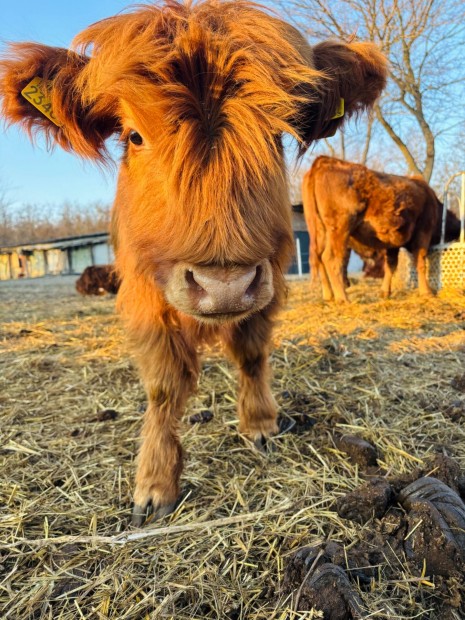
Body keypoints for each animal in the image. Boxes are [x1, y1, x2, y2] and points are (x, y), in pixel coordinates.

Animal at [0, 1, 384, 524]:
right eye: (134, 136)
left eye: (277, 136)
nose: (223, 286)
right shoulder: (144, 295)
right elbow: (163, 387)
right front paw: (154, 483)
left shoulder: (269, 276)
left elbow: (252, 353)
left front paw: (260, 423)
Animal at [302, 157, 458, 302]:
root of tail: (323, 162)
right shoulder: (422, 234)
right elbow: (420, 262)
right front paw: (427, 293)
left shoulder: (393, 244)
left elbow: (390, 266)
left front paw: (384, 293)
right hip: (340, 230)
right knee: (331, 258)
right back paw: (343, 299)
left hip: (320, 232)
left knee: (319, 258)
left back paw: (328, 296)